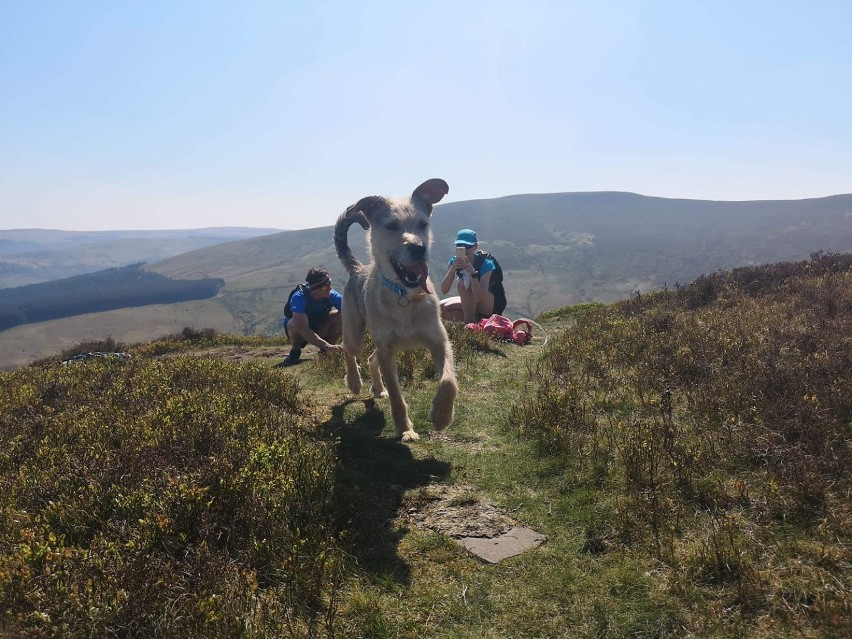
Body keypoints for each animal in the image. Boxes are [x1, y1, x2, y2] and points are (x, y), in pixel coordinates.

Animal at [332, 178, 456, 442]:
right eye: (391, 225)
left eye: (423, 224)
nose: (419, 248)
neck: (405, 296)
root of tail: (358, 268)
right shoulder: (388, 351)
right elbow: (398, 397)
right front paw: (405, 429)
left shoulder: (439, 342)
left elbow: (449, 381)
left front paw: (441, 416)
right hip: (356, 332)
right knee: (349, 350)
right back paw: (355, 381)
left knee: (371, 358)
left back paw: (378, 388)